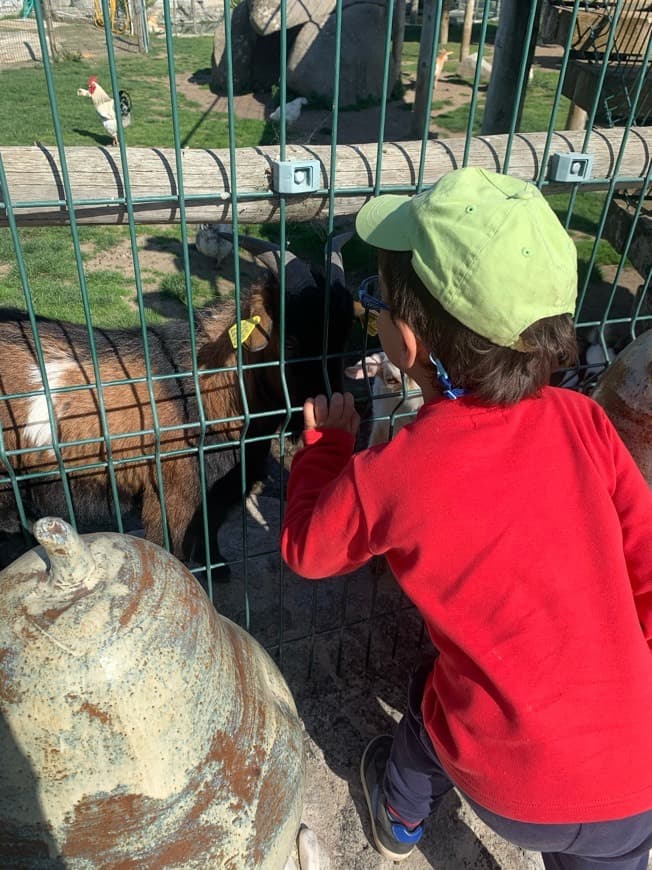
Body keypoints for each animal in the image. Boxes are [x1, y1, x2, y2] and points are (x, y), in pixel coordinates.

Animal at [0, 232, 352, 576]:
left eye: (343, 340)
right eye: (290, 343)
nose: (329, 408)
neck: (204, 392)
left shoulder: (220, 487)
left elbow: (212, 529)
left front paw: (219, 567)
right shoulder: (173, 496)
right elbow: (175, 550)